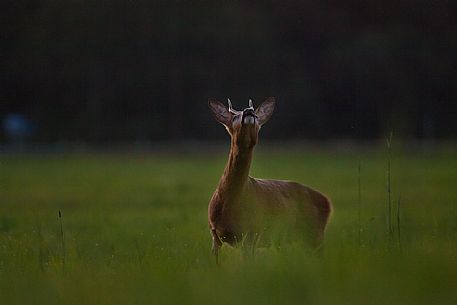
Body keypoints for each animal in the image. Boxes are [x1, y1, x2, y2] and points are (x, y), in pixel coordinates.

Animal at [208, 97, 332, 262]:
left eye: (257, 116)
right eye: (234, 117)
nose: (249, 111)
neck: (228, 203)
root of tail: (327, 201)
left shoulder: (251, 233)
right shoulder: (214, 234)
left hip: (315, 234)